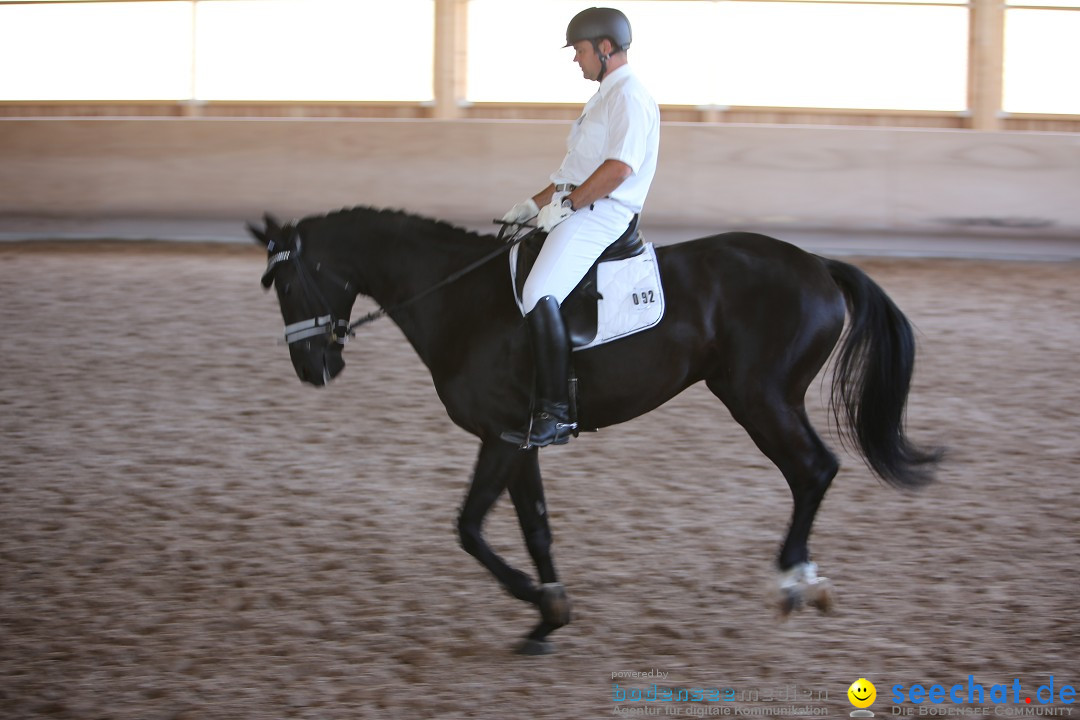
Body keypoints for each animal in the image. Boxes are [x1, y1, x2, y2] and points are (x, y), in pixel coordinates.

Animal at [248, 207, 941, 651]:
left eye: (286, 283)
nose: (312, 368)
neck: (459, 301)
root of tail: (817, 265)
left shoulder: (500, 436)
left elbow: (469, 528)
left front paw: (535, 600)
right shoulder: (518, 440)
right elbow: (535, 526)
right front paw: (549, 613)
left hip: (759, 397)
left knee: (814, 470)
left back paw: (796, 582)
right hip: (761, 397)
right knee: (810, 473)